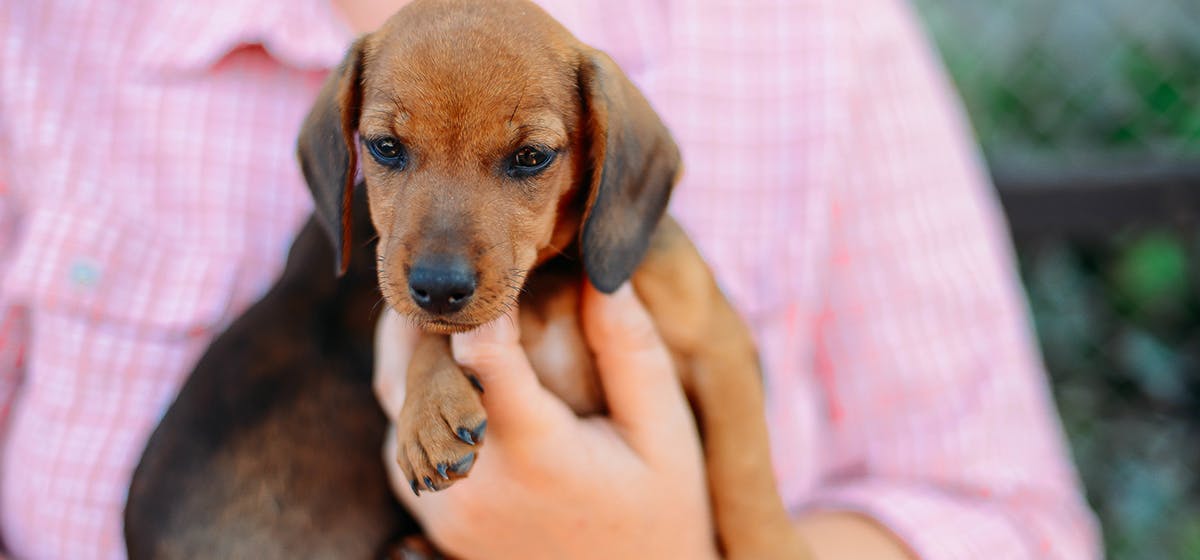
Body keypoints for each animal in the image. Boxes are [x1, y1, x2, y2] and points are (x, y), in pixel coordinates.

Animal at [129, 1, 806, 560]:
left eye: (532, 157)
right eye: (385, 147)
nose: (437, 287)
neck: (545, 287)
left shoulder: (718, 349)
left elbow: (745, 475)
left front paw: (770, 544)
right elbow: (430, 335)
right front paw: (428, 407)